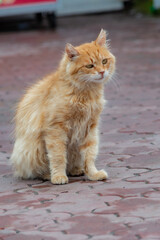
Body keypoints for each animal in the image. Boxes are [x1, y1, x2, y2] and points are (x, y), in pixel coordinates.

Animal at [10, 29, 115, 185]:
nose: (102, 72)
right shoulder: (55, 129)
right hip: (33, 149)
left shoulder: (90, 129)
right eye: (90, 66)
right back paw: (48, 175)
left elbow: (89, 155)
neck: (84, 95)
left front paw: (93, 174)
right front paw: (58, 176)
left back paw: (76, 170)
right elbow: (58, 156)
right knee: (33, 171)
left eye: (104, 61)